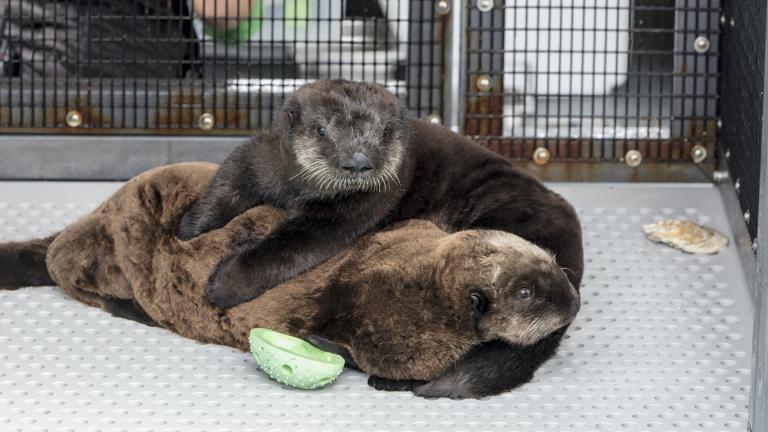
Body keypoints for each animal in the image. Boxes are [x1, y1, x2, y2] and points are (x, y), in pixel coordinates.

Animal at [0, 165, 580, 398]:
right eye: (525, 293)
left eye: (553, 264)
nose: (571, 302)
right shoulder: (388, 332)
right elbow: (362, 352)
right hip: (107, 250)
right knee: (71, 270)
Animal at [177, 80, 584, 398]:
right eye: (322, 130)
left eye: (384, 133)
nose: (358, 161)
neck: (295, 188)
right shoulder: (259, 158)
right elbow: (228, 182)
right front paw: (188, 227)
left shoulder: (350, 212)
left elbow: (289, 248)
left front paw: (224, 284)